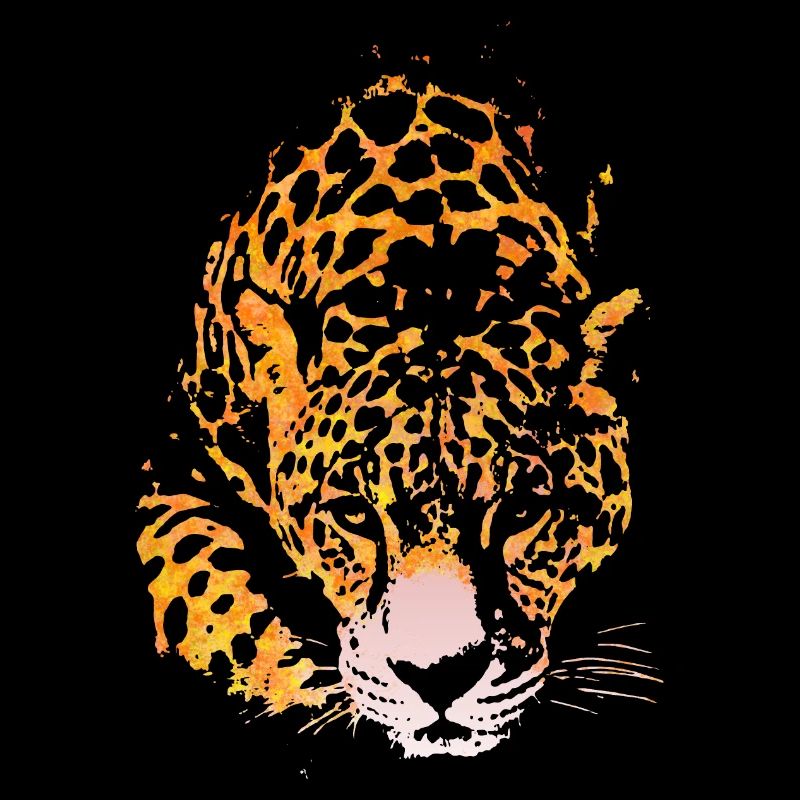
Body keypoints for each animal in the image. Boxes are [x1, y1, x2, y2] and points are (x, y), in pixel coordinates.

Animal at [136, 74, 644, 758]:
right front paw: (303, 688)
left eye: (522, 512)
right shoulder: (175, 459)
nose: (439, 677)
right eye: (352, 515)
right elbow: (203, 590)